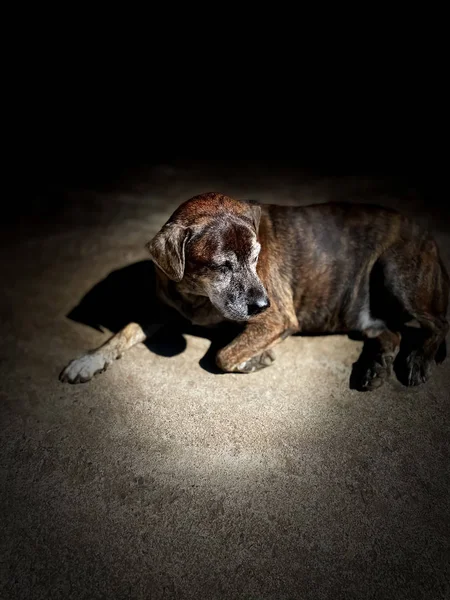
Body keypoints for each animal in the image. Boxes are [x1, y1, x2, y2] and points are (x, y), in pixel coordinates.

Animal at [60, 190, 450, 392]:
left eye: (256, 257)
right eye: (222, 266)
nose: (262, 303)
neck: (196, 296)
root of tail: (428, 236)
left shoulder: (275, 320)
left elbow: (222, 355)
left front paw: (255, 360)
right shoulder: (161, 310)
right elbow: (122, 332)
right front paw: (87, 360)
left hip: (395, 272)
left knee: (438, 324)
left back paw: (417, 361)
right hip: (367, 312)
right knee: (391, 333)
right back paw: (376, 369)